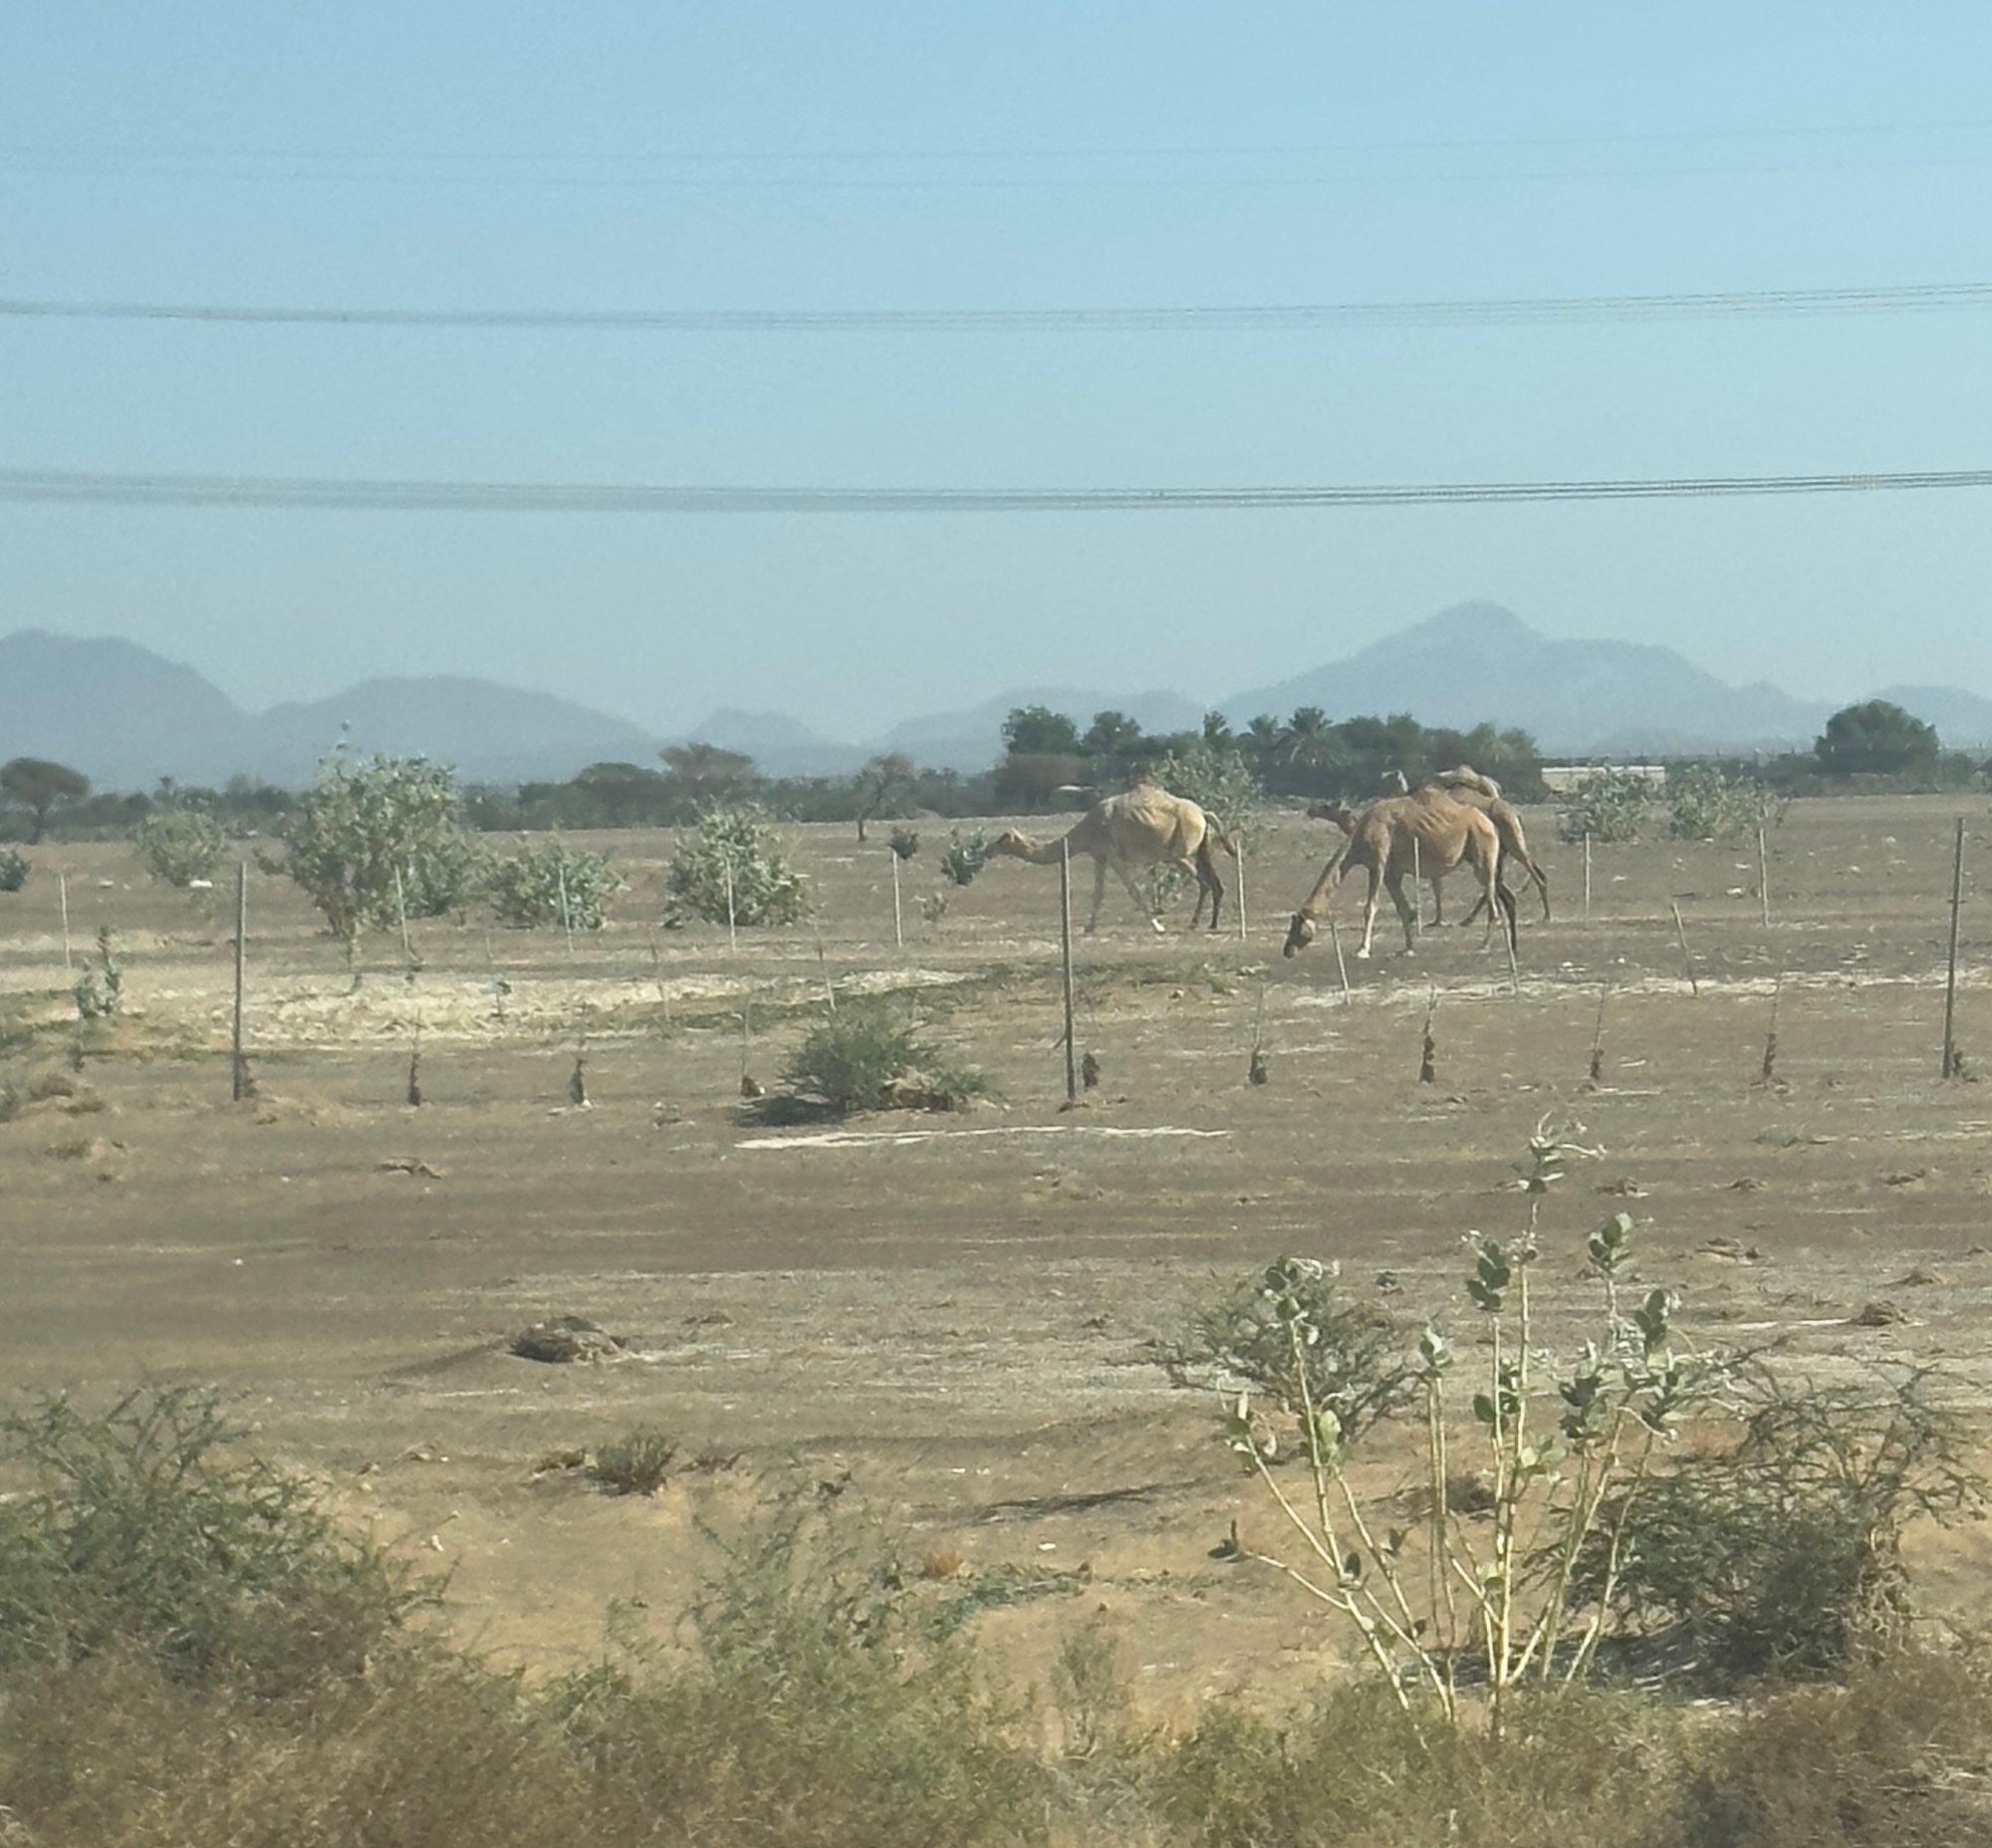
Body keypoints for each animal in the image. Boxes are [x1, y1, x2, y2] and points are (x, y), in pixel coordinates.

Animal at [988, 780, 1235, 931]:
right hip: (1198, 848)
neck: (1086, 831)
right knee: (1213, 882)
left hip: (1178, 852)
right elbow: (1098, 893)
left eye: (1001, 839)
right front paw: (1088, 927)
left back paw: (1196, 923)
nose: (988, 850)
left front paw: (1158, 927)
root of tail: (1203, 812)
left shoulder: (1112, 855)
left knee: (1204, 881)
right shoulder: (1099, 857)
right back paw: (1208, 924)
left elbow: (1133, 891)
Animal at [1291, 784, 1506, 959]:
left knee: (1490, 894)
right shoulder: (1391, 872)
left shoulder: (1378, 863)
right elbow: (1403, 909)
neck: (1359, 836)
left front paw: (1362, 950)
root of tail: (1490, 824)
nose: (1287, 951)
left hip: (1482, 852)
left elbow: (1371, 907)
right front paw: (1408, 948)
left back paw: (1485, 946)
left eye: (1296, 928)